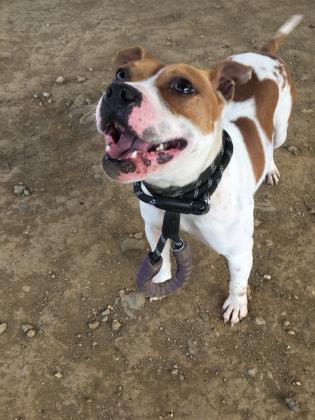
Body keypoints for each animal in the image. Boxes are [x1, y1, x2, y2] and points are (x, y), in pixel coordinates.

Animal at [95, 15, 304, 324]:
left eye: (183, 86)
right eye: (121, 73)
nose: (117, 91)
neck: (182, 194)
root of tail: (265, 53)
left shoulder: (240, 252)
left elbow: (238, 282)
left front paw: (236, 305)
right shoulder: (155, 229)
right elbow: (163, 259)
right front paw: (162, 282)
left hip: (281, 129)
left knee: (273, 146)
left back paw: (270, 169)